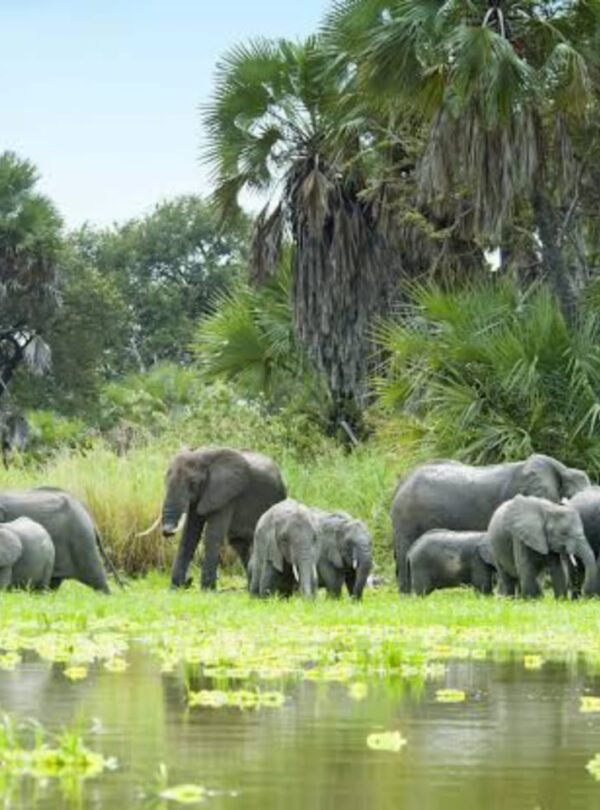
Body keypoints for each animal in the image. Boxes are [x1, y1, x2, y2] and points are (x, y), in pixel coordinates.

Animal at [158, 447, 286, 590]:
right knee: (239, 544)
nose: (189, 580)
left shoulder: (226, 495)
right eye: (165, 481)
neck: (203, 457)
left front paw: (207, 590)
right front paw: (175, 588)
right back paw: (248, 588)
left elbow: (212, 535)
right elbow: (189, 535)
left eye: (193, 484)